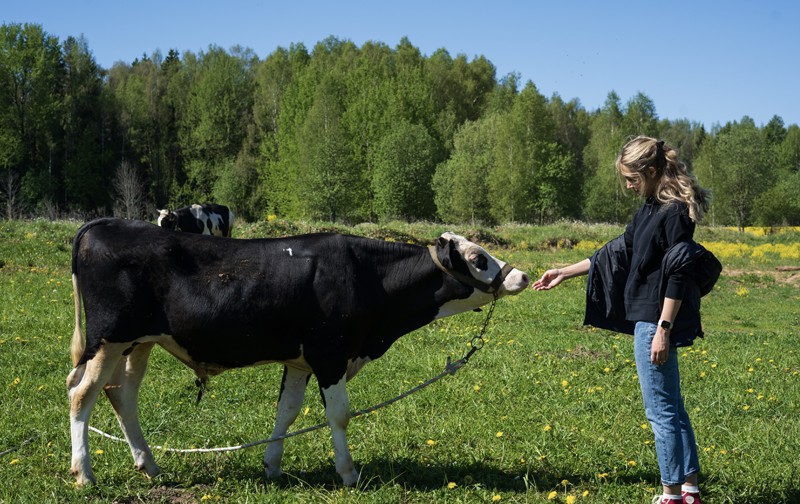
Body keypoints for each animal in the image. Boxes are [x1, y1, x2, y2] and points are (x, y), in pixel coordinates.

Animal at [67, 219, 532, 486]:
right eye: (478, 257)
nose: (523, 277)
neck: (366, 275)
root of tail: (105, 224)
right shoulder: (330, 355)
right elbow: (339, 414)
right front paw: (349, 473)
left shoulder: (300, 360)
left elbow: (287, 412)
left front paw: (272, 466)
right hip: (107, 339)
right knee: (81, 395)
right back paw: (84, 474)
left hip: (138, 344)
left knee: (121, 395)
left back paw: (149, 465)